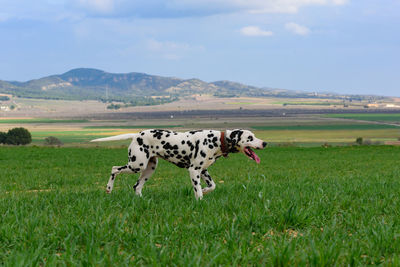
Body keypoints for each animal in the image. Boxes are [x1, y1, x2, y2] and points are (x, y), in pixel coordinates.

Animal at [90, 129, 266, 200]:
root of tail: (136, 135)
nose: (264, 143)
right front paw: (200, 198)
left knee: (137, 186)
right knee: (114, 169)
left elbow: (212, 186)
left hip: (149, 168)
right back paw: (108, 188)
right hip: (136, 165)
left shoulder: (203, 170)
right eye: (250, 137)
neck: (217, 140)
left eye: (254, 135)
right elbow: (197, 191)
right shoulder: (194, 170)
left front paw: (205, 190)